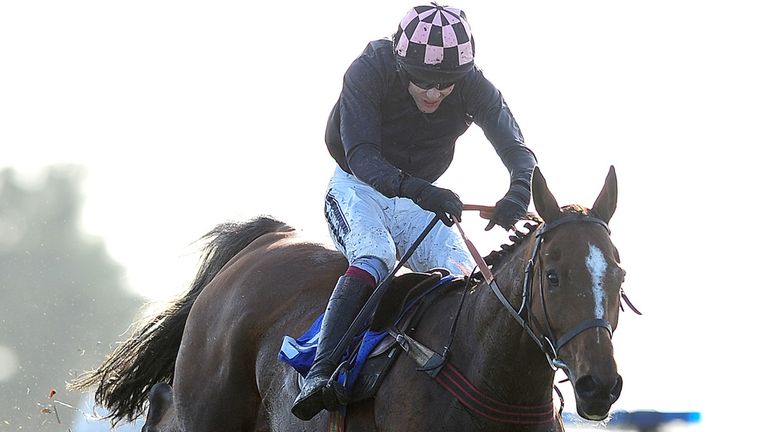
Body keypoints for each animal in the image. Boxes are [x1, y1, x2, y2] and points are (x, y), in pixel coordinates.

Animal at [70, 165, 632, 432]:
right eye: (553, 276)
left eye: (619, 276)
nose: (599, 385)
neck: (486, 372)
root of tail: (266, 241)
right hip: (208, 413)